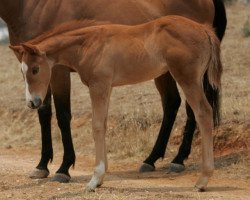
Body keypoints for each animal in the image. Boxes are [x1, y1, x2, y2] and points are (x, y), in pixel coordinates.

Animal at [0, 0, 227, 182]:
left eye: (35, 69)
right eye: (22, 71)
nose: (31, 102)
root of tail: (204, 29)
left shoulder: (75, 78)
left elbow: (76, 120)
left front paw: (69, 171)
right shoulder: (99, 87)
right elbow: (86, 121)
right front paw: (44, 166)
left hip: (187, 77)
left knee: (198, 110)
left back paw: (187, 166)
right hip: (170, 75)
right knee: (175, 104)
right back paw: (152, 160)